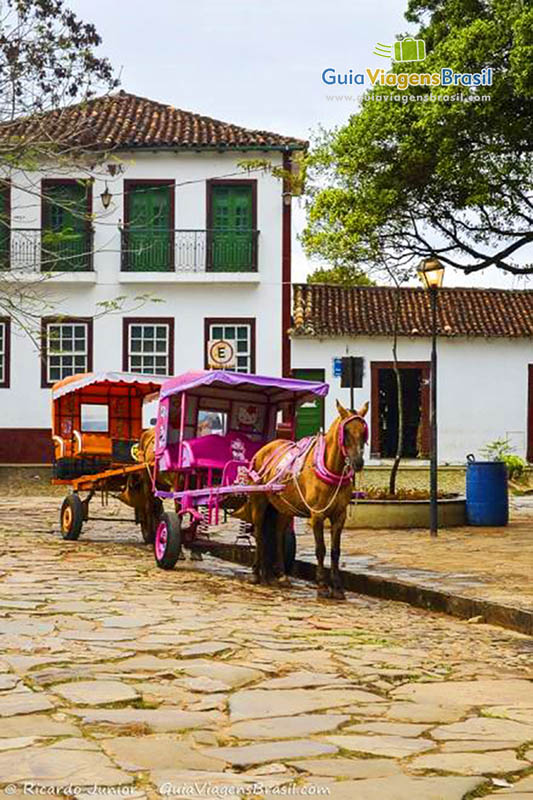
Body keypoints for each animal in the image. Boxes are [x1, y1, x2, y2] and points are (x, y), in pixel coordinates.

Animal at [235, 400, 368, 600]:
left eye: (364, 431)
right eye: (345, 432)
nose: (358, 463)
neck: (330, 468)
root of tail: (264, 449)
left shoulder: (339, 515)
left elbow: (335, 551)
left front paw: (337, 587)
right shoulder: (317, 515)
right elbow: (320, 549)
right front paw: (322, 586)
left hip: (283, 507)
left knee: (278, 534)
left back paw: (281, 575)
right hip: (259, 501)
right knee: (259, 534)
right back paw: (257, 574)